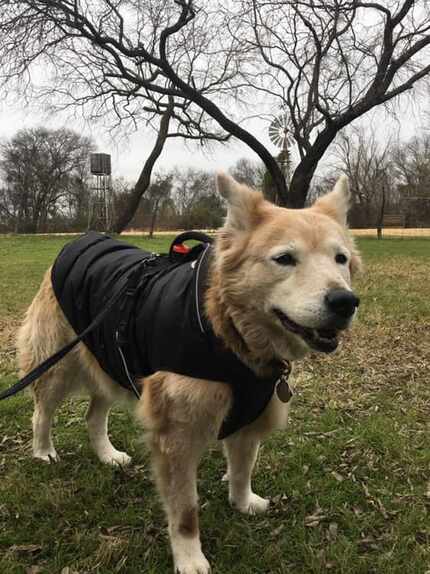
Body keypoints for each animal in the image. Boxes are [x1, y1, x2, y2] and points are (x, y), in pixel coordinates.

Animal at [15, 174, 360, 574]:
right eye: (285, 259)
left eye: (341, 259)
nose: (345, 302)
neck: (228, 329)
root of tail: (84, 237)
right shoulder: (177, 437)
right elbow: (185, 512)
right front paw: (190, 558)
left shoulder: (249, 415)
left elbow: (242, 468)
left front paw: (242, 502)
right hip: (57, 365)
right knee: (42, 413)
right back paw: (43, 451)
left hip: (108, 358)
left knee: (93, 416)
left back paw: (108, 455)